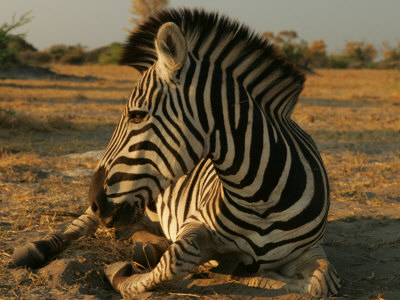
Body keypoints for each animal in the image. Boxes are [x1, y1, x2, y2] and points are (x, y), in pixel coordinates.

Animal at [12, 8, 340, 298]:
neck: (261, 195)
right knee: (83, 224)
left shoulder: (312, 248)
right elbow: (175, 259)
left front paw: (253, 273)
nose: (95, 200)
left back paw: (147, 247)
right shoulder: (194, 224)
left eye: (136, 115)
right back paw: (36, 248)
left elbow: (319, 284)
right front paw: (118, 271)